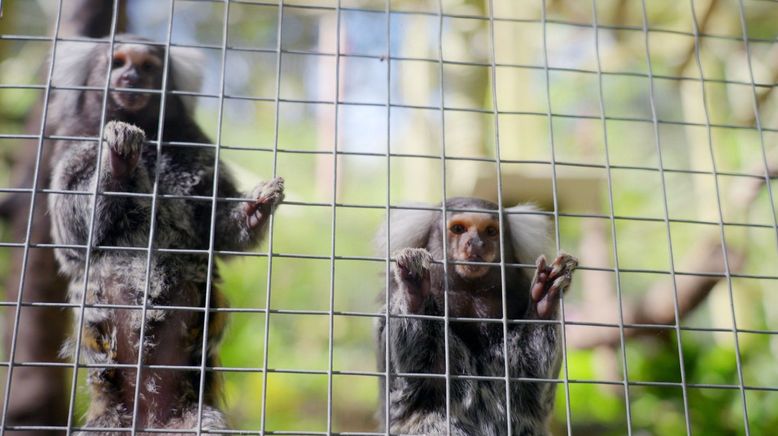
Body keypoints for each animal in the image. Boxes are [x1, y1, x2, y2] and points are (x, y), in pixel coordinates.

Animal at [46, 35, 282, 432]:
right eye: (118, 62)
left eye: (147, 66)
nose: (130, 78)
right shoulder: (74, 148)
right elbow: (75, 233)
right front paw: (118, 164)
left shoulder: (197, 151)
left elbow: (217, 232)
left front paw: (254, 212)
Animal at [376, 198, 576, 436]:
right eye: (458, 229)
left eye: (490, 231)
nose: (476, 243)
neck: (470, 292)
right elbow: (420, 379)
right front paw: (415, 291)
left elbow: (529, 377)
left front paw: (544, 300)